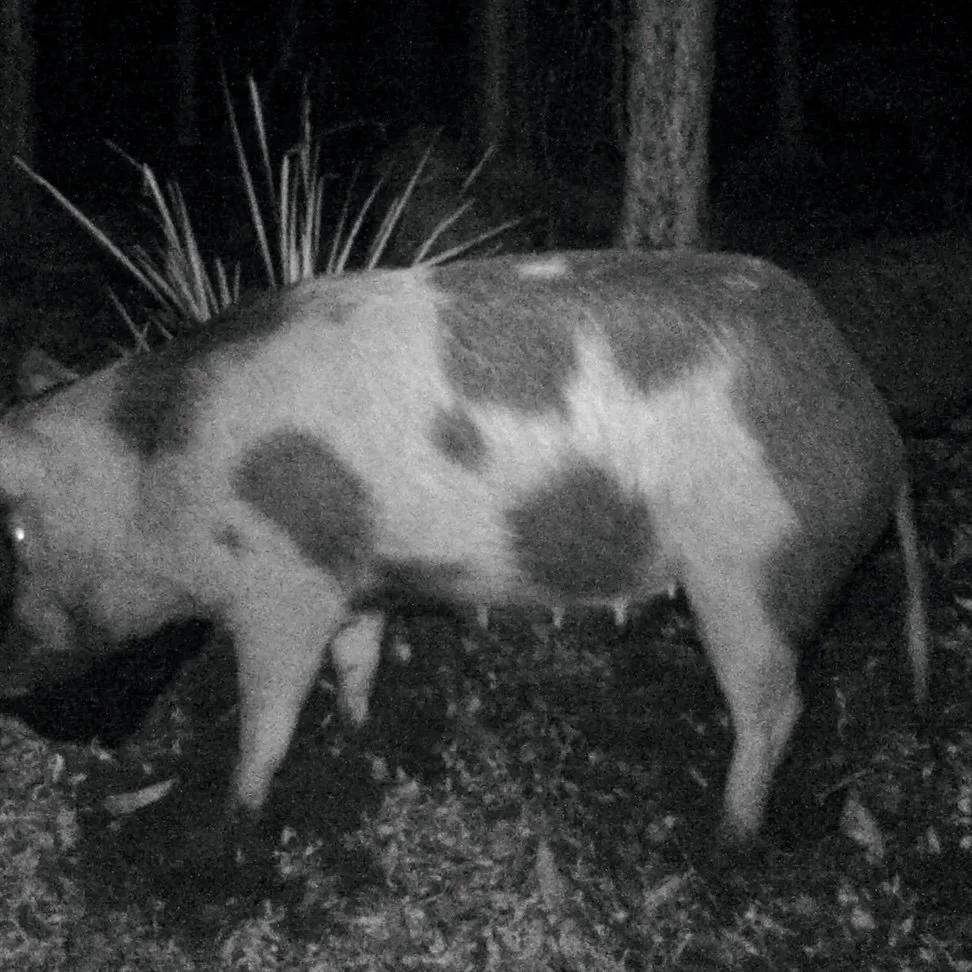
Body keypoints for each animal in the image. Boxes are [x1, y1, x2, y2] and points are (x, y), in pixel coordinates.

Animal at [0, 249, 928, 858]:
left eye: (14, 541)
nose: (13, 692)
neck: (156, 475)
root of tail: (871, 416)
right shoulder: (357, 578)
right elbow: (358, 658)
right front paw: (358, 733)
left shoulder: (282, 588)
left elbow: (267, 711)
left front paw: (236, 817)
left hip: (745, 573)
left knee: (777, 707)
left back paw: (728, 844)